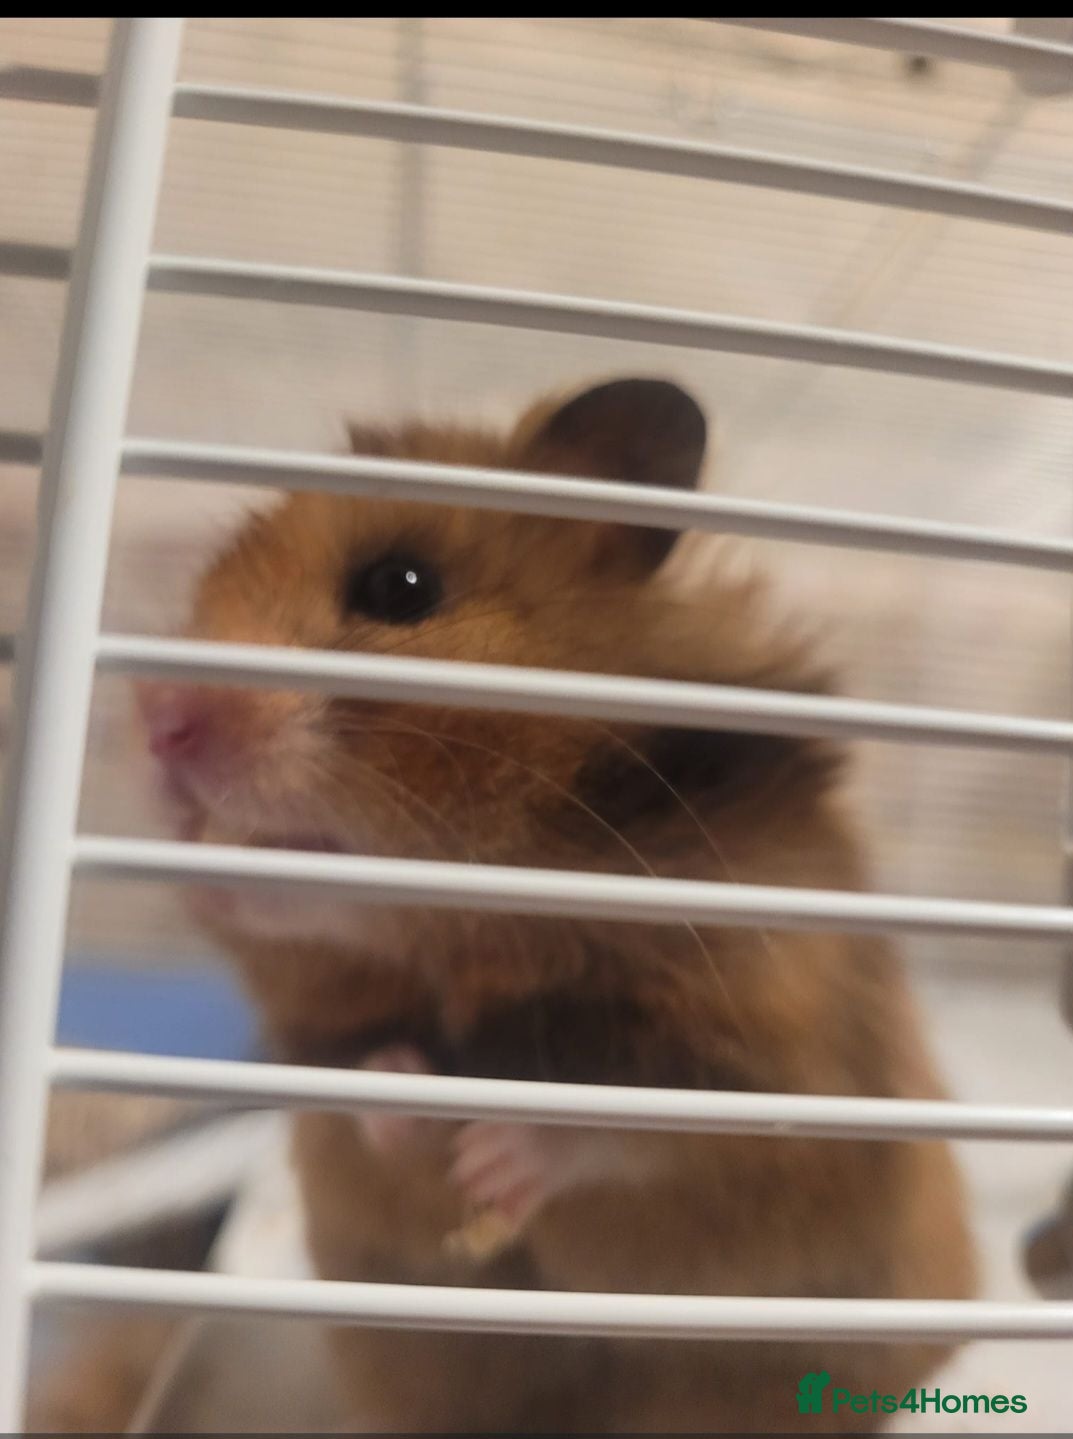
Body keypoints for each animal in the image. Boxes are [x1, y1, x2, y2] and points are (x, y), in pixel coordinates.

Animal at [138, 378, 974, 1434]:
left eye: (400, 586)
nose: (155, 717)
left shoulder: (761, 1046)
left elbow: (624, 1118)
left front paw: (493, 1157)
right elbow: (356, 1062)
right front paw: (410, 1084)